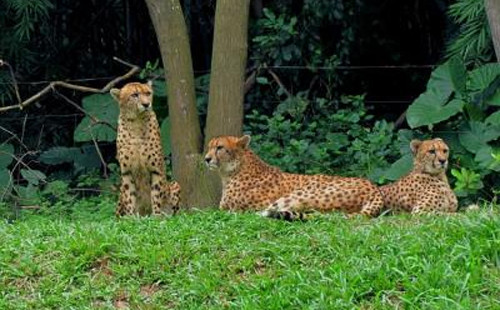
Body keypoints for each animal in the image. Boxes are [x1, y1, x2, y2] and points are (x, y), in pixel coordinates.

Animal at [110, 81, 181, 217]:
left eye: (148, 93)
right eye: (134, 95)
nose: (146, 104)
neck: (136, 122)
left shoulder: (156, 170)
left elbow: (156, 194)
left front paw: (156, 216)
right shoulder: (126, 172)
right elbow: (130, 196)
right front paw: (131, 217)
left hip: (175, 184)